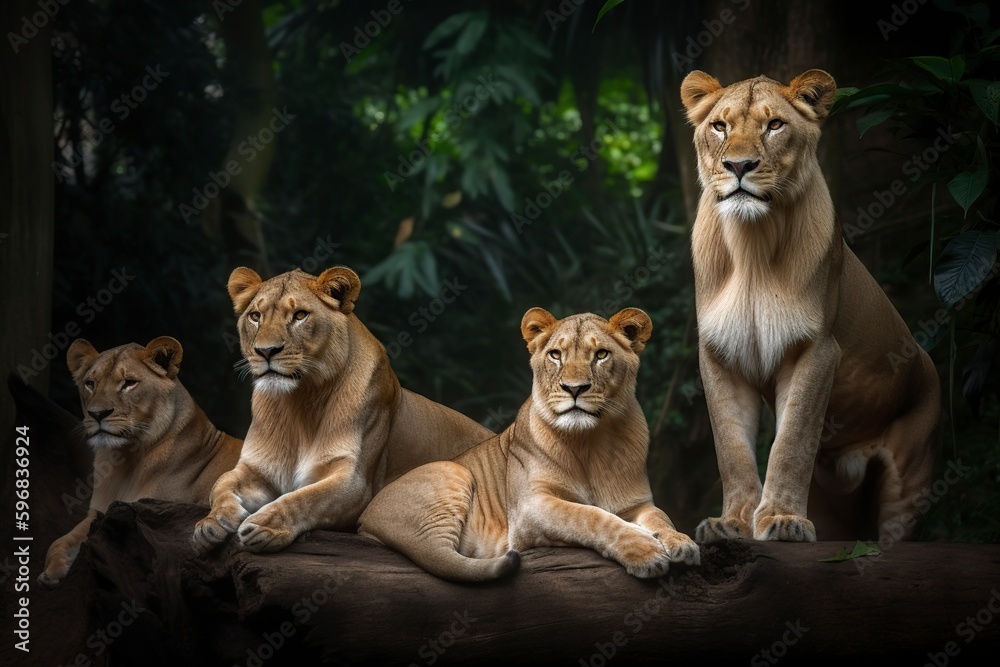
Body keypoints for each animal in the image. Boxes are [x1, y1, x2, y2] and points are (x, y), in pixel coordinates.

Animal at [39, 337, 242, 587]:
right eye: (90, 384)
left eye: (129, 383)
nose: (96, 414)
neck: (123, 460)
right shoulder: (97, 512)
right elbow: (61, 541)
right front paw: (50, 572)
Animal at [191, 266, 494, 553]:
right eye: (255, 316)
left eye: (300, 315)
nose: (265, 351)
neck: (299, 402)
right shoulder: (257, 469)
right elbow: (221, 483)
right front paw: (210, 524)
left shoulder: (355, 485)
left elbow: (305, 498)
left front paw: (264, 526)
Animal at [358, 307, 700, 582]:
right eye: (556, 354)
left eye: (601, 354)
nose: (574, 388)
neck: (591, 442)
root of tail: (364, 518)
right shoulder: (530, 509)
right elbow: (590, 516)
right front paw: (645, 549)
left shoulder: (637, 503)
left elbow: (661, 516)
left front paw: (680, 542)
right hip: (452, 471)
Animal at [679, 69, 940, 542]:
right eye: (720, 126)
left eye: (774, 125)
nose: (738, 166)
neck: (751, 247)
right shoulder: (720, 355)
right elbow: (732, 449)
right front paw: (732, 523)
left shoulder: (817, 349)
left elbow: (792, 441)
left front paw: (783, 520)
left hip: (909, 478)